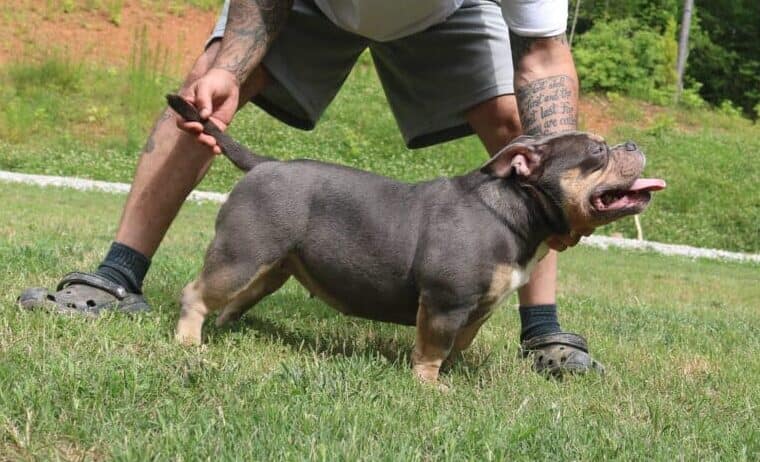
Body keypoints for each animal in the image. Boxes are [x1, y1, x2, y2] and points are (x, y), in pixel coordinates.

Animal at [168, 93, 664, 382]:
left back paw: (227, 329)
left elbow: (460, 343)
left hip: (270, 268)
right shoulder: (446, 303)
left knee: (234, 301)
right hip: (242, 254)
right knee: (196, 293)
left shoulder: (477, 308)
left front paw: (452, 373)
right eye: (597, 152)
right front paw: (429, 384)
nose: (634, 144)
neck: (515, 209)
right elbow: (434, 346)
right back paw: (189, 342)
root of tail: (264, 164)